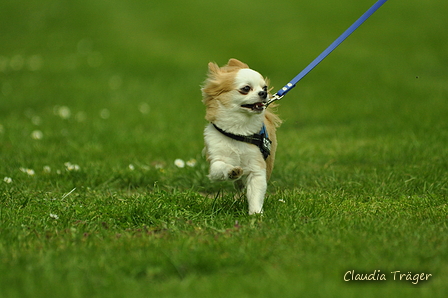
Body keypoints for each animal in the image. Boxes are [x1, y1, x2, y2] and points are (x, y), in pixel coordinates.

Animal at [202, 58, 280, 214]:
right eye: (246, 88)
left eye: (265, 87)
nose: (264, 93)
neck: (238, 132)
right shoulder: (215, 162)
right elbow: (221, 166)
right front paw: (232, 171)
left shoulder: (257, 167)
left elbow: (256, 193)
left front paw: (256, 214)